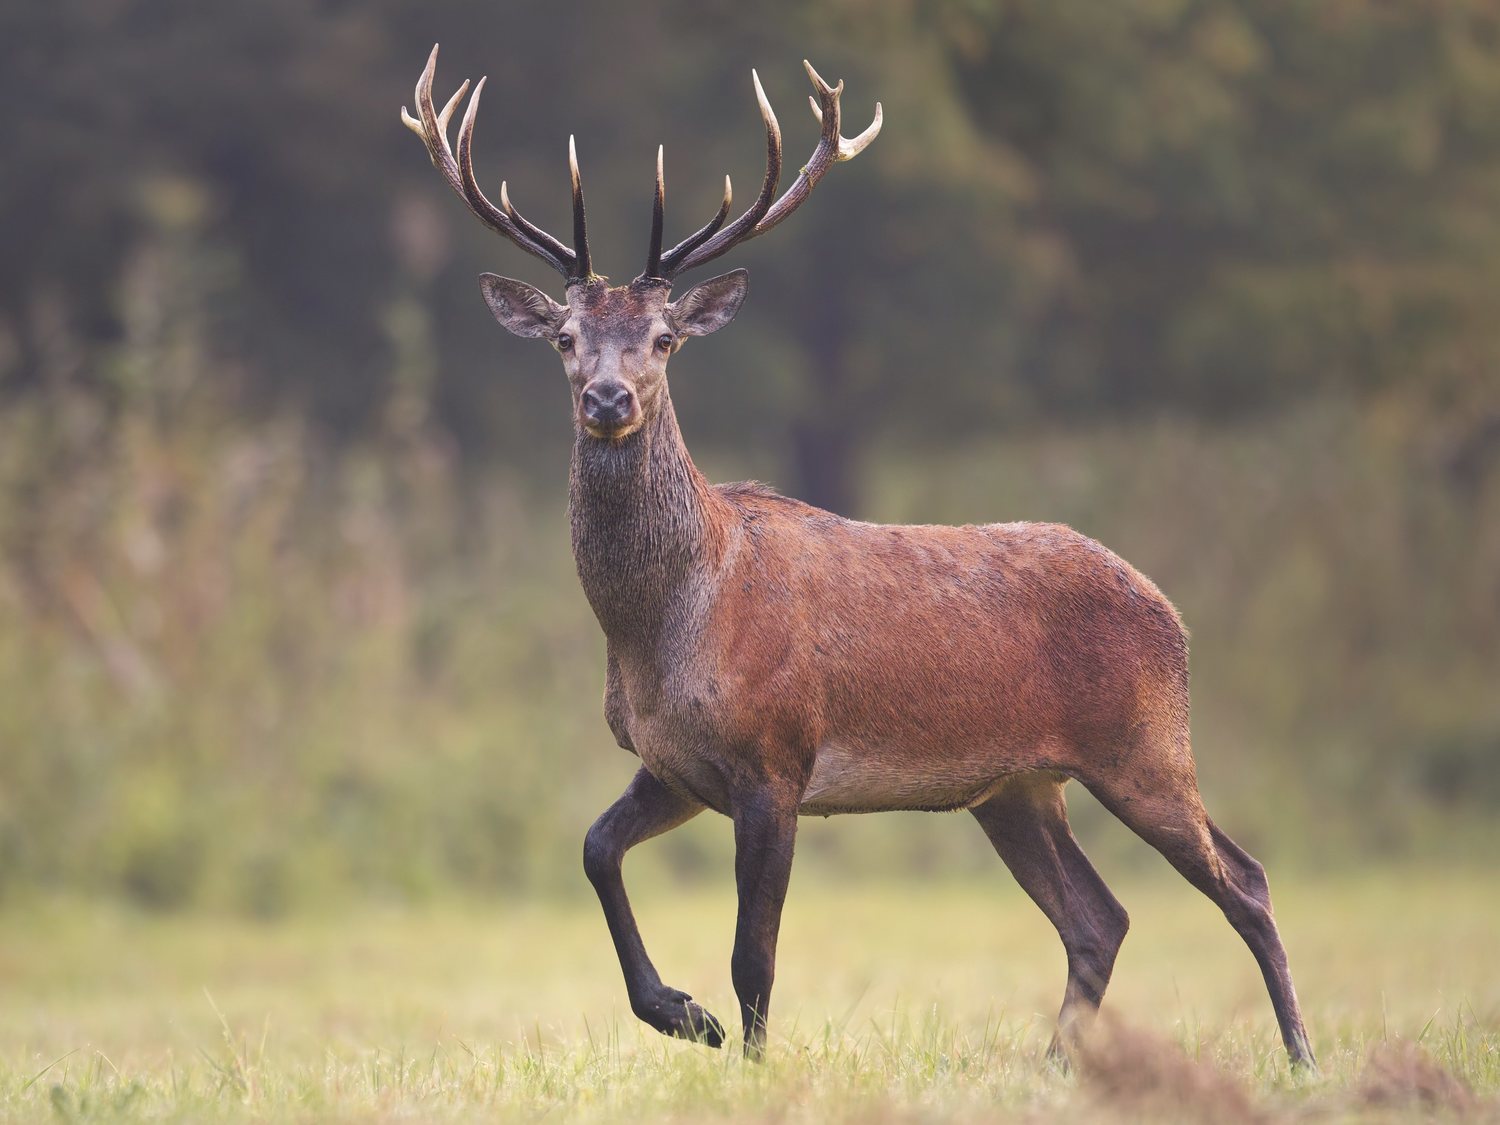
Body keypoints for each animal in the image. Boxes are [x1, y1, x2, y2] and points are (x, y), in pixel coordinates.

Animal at [402, 41, 1314, 1068]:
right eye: (565, 337)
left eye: (664, 339)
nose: (606, 398)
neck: (666, 626)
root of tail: (1170, 609)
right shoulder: (676, 762)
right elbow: (596, 849)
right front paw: (683, 1015)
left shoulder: (776, 756)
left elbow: (753, 950)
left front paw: (749, 1059)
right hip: (1015, 785)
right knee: (1100, 916)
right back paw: (1054, 1068)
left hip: (1145, 744)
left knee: (1246, 880)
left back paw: (1301, 1054)